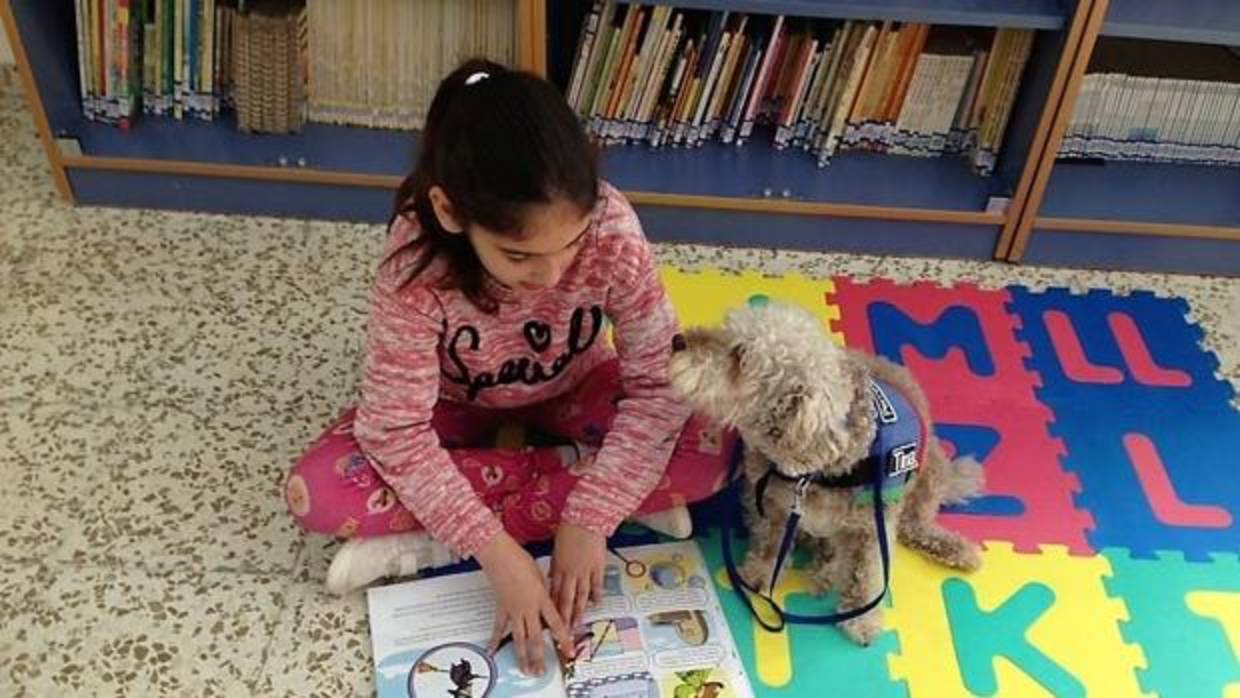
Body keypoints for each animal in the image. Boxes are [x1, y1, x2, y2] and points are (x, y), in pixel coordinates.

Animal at [674, 300, 982, 644]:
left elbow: (866, 575)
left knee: (915, 526)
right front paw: (759, 574)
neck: (813, 475)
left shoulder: (872, 526)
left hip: (929, 477)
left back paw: (956, 550)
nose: (678, 340)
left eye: (741, 356)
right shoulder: (772, 504)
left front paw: (862, 620)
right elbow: (770, 545)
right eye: (725, 329)